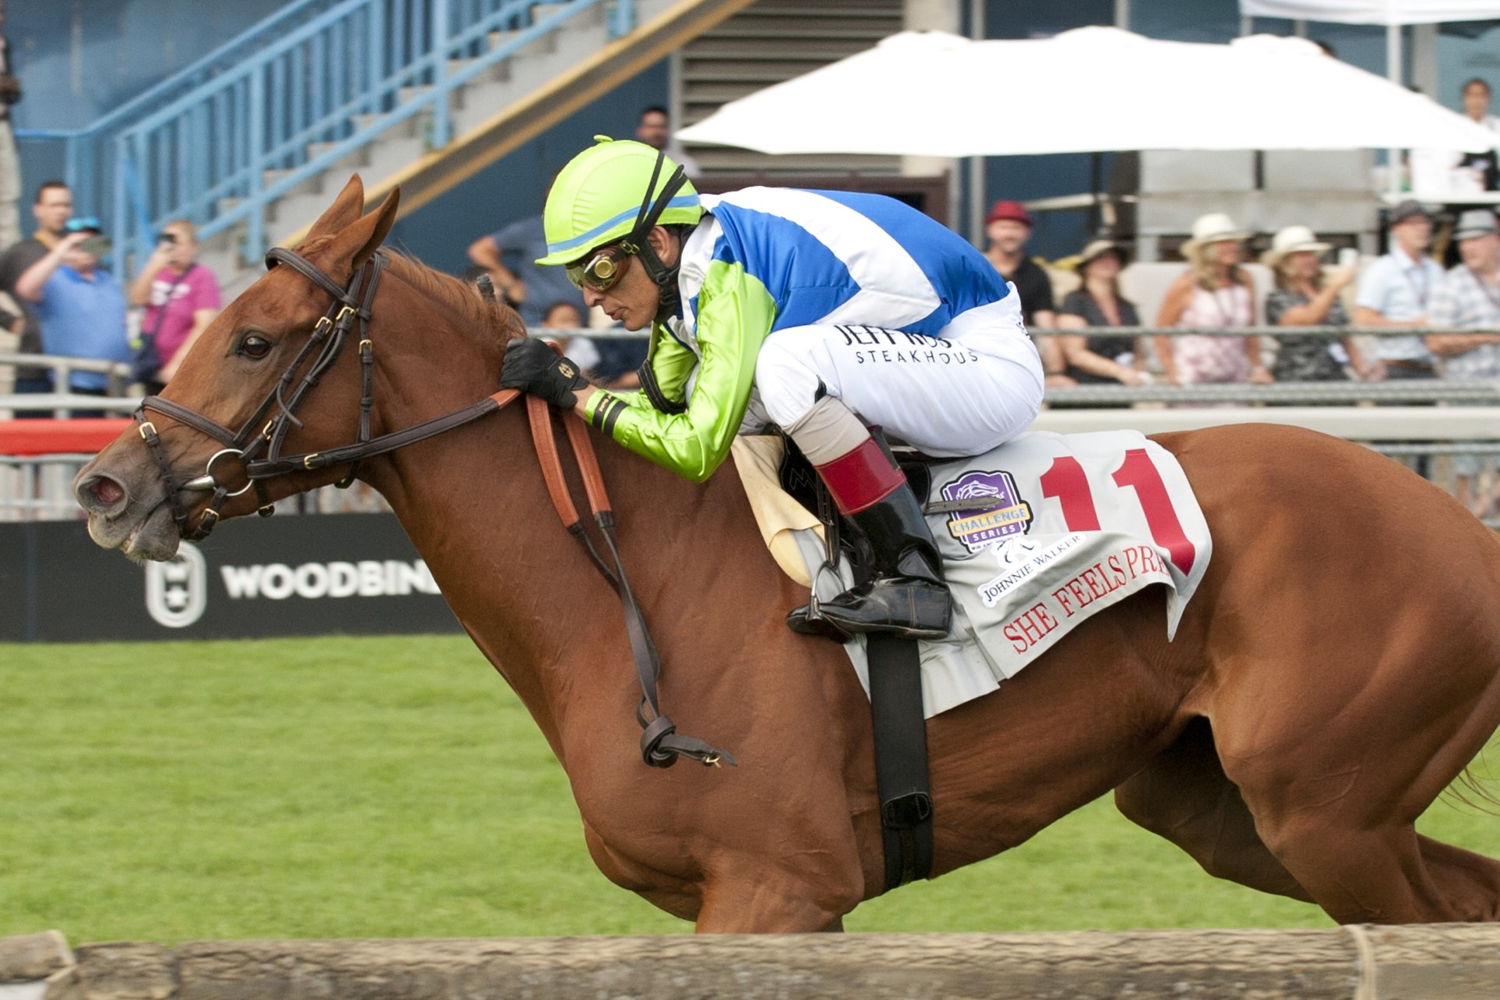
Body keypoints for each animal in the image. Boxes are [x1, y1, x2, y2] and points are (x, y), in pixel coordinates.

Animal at [76, 177, 1500, 929]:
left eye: (255, 338)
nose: (102, 483)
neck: (629, 586)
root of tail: (1462, 527)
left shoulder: (779, 885)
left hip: (1324, 806)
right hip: (1237, 808)